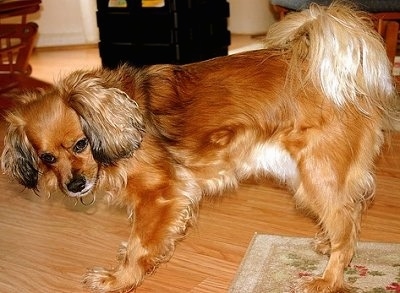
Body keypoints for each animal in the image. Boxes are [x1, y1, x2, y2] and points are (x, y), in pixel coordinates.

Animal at [1, 2, 398, 292]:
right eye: (47, 157)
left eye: (81, 144)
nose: (75, 186)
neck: (121, 120)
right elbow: (138, 242)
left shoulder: (160, 195)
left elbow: (140, 246)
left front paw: (119, 279)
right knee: (350, 215)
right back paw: (326, 245)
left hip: (317, 175)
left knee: (346, 228)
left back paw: (328, 279)